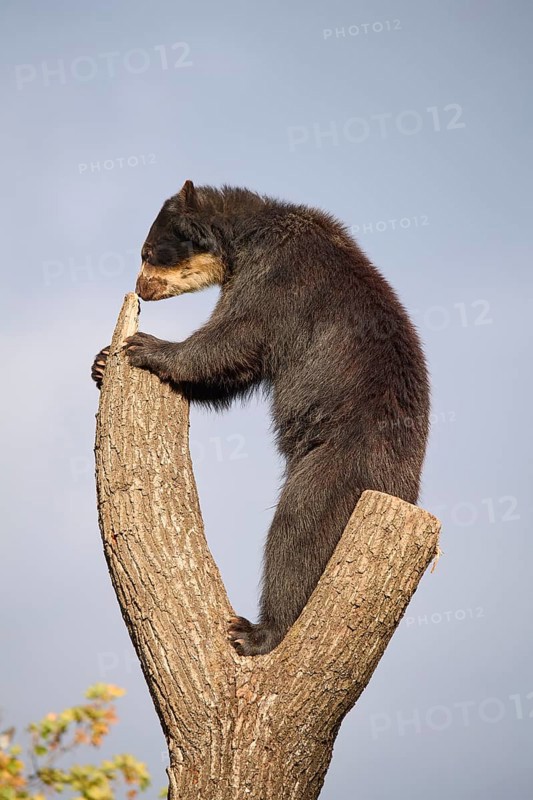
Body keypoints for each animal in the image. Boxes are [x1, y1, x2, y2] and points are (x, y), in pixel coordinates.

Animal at [91, 180, 430, 656]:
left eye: (147, 251)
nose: (140, 289)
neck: (244, 239)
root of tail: (405, 490)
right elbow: (232, 372)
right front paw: (101, 360)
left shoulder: (280, 279)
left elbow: (235, 336)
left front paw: (145, 346)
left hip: (339, 462)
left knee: (298, 530)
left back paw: (256, 631)